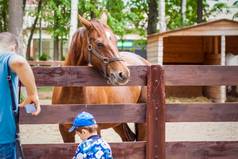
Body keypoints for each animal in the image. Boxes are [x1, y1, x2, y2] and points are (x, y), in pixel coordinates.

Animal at [51, 15, 149, 143]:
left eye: (115, 40)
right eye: (99, 44)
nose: (123, 74)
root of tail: (144, 61)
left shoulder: (95, 130)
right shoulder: (65, 132)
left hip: (142, 123)